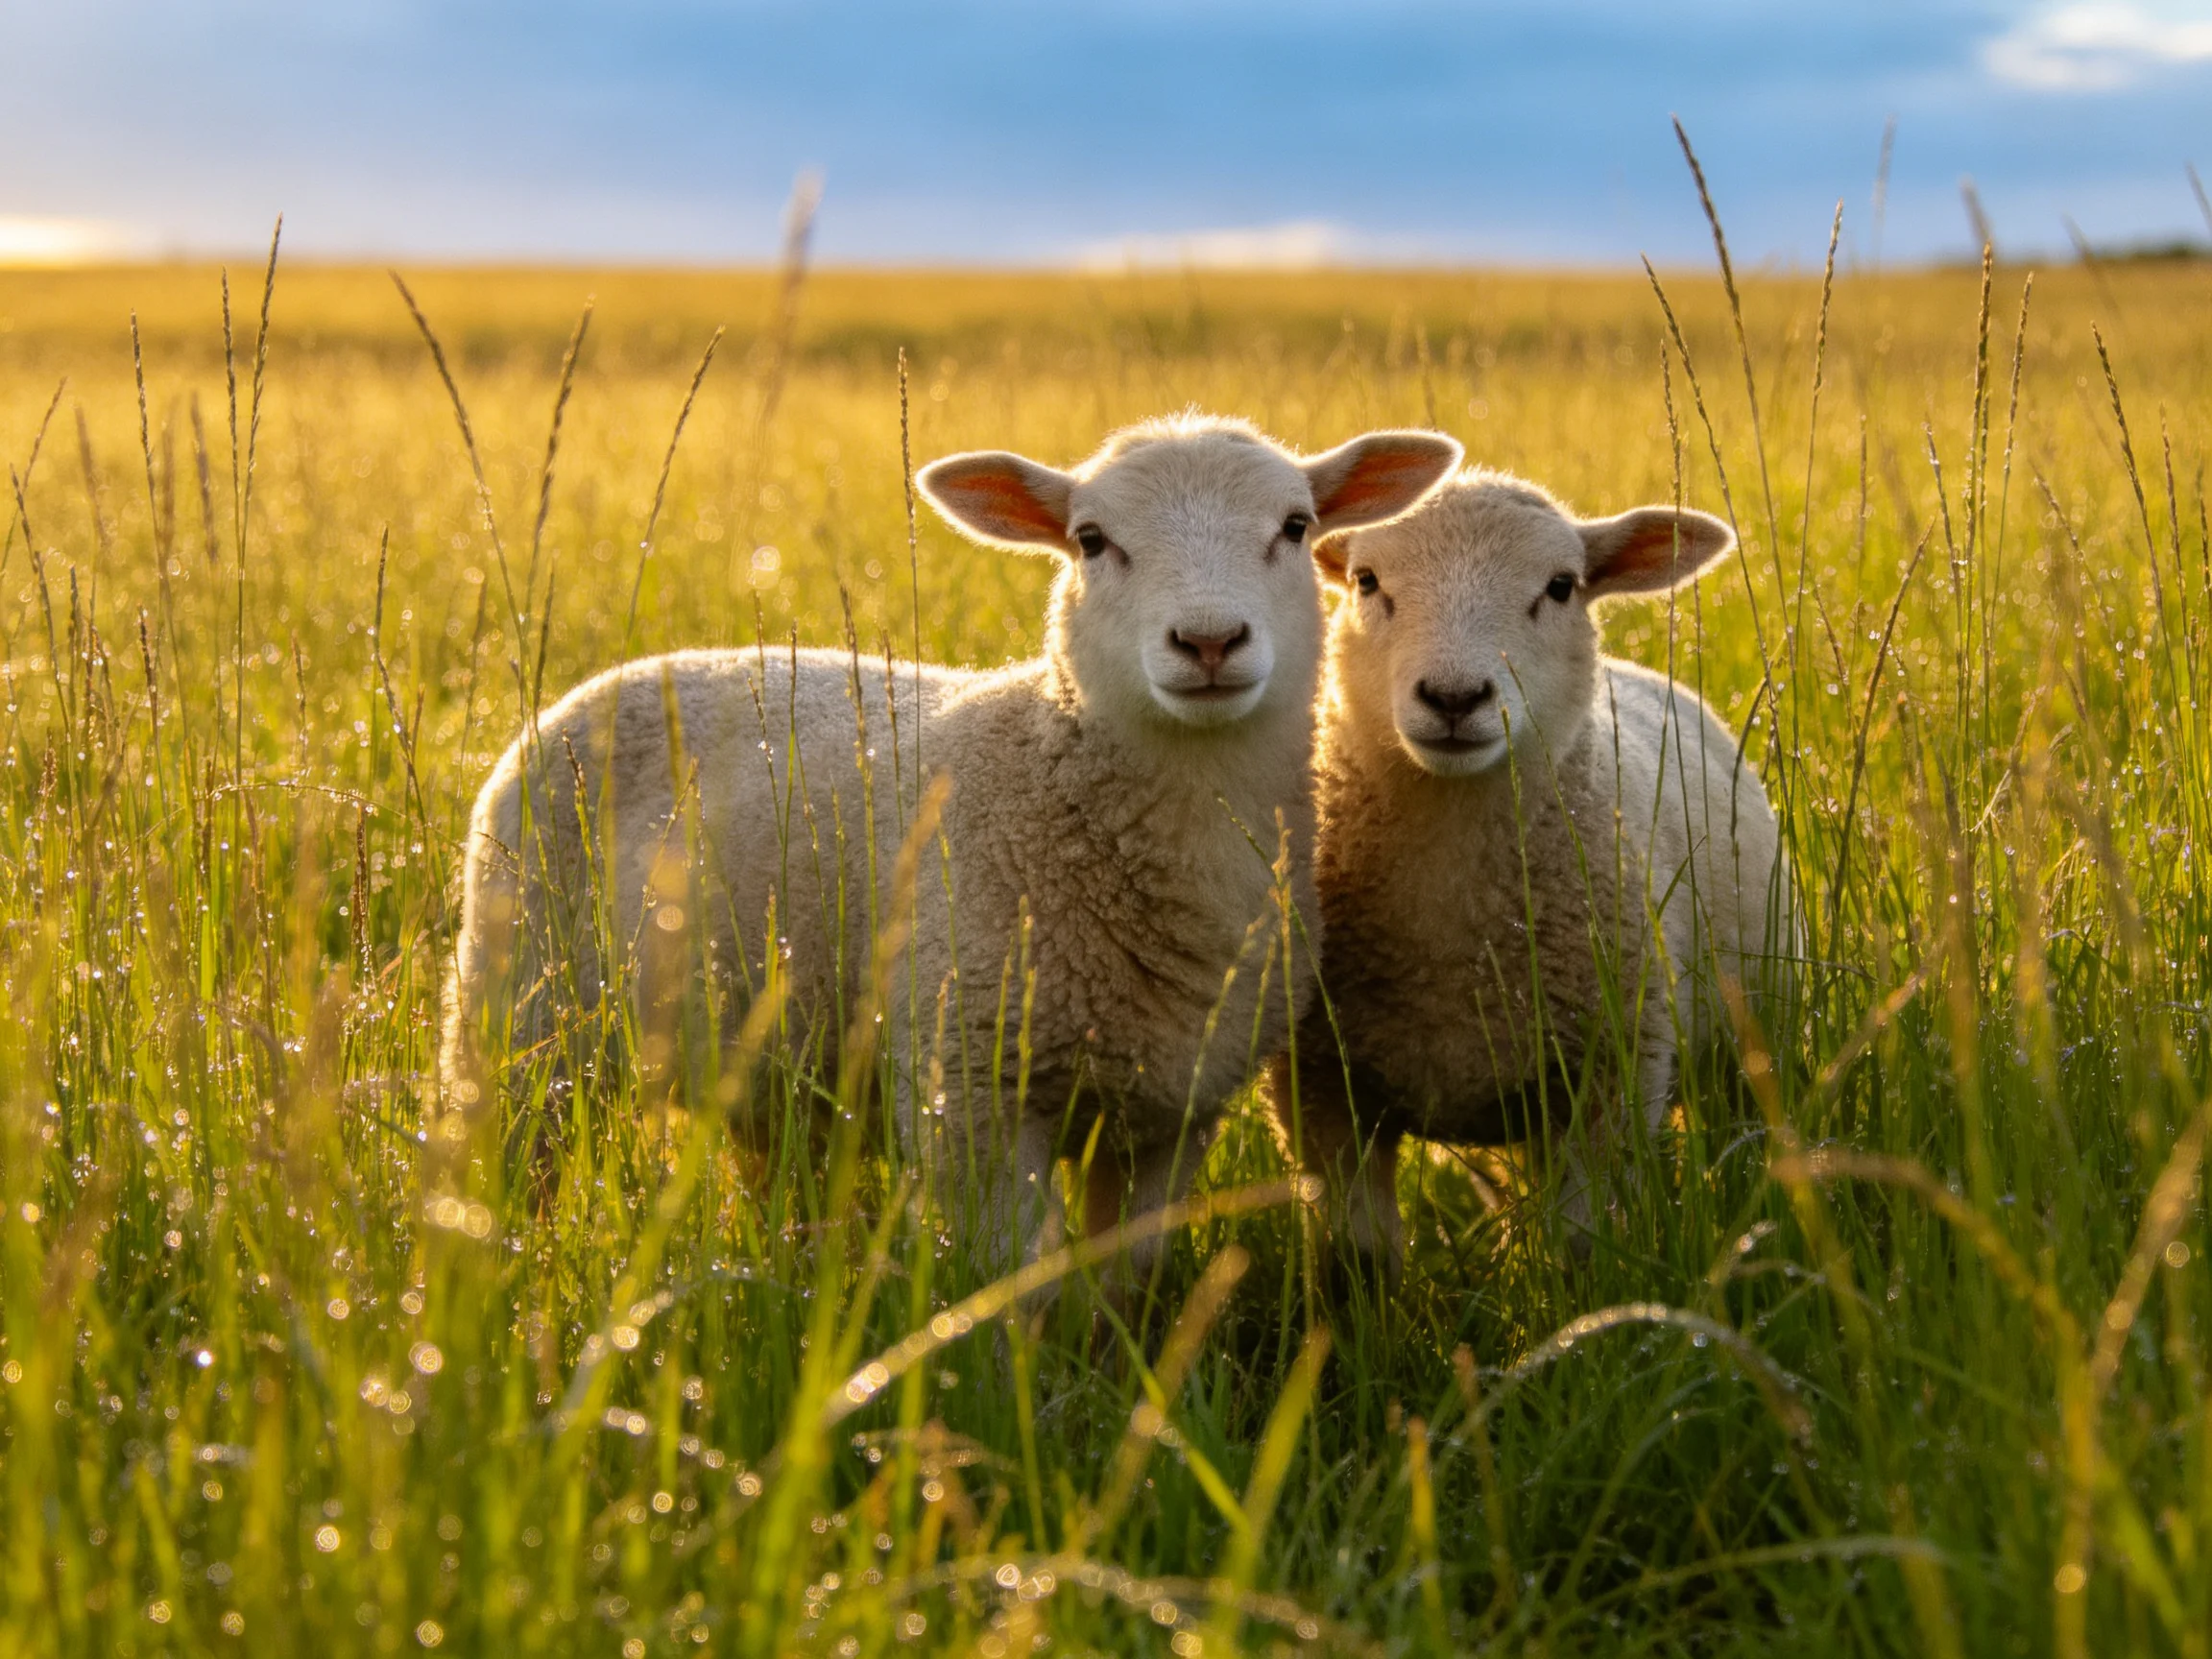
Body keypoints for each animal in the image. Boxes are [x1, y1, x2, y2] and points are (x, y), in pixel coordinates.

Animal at [442, 414, 1462, 1276]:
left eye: (1294, 526)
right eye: (1092, 540)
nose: (1208, 642)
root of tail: (631, 669)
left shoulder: (1175, 1110)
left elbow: (1126, 1281)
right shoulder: (972, 1092)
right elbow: (1013, 1283)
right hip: (520, 1006)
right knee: (506, 1168)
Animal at [1267, 468, 1792, 1265]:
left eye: (1560, 586)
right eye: (1366, 580)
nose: (1454, 697)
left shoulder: (1612, 1073)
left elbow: (1577, 1246)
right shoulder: (1320, 1086)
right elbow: (1360, 1258)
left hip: (1750, 1028)